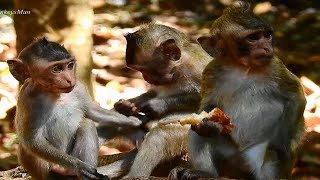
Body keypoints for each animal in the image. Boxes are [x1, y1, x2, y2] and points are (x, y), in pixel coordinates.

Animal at [5, 37, 141, 179]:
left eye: (70, 66)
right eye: (57, 69)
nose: (70, 79)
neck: (55, 94)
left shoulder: (79, 87)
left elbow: (92, 111)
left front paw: (131, 119)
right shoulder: (26, 98)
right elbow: (31, 140)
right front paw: (78, 166)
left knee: (86, 124)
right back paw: (63, 169)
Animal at [97, 23, 212, 178]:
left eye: (146, 71)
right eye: (140, 72)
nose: (146, 78)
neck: (178, 68)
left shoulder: (199, 69)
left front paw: (156, 106)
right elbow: (151, 93)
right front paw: (129, 105)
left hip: (183, 139)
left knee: (159, 136)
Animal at [169, 1, 306, 180]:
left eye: (267, 35)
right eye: (253, 38)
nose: (266, 47)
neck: (243, 68)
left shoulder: (275, 67)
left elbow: (296, 96)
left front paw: (281, 144)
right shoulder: (211, 71)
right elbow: (207, 107)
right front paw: (210, 124)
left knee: (272, 154)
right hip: (229, 162)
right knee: (196, 132)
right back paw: (206, 173)